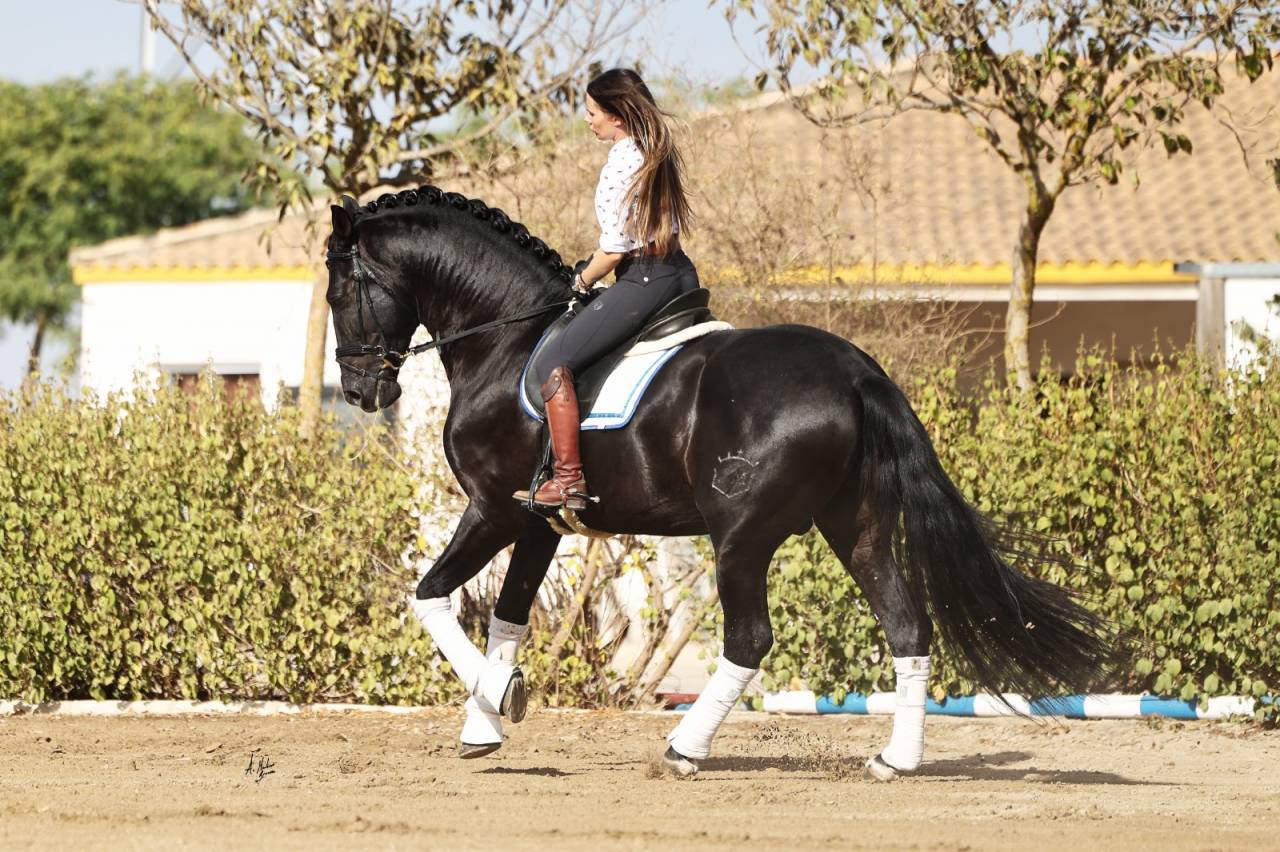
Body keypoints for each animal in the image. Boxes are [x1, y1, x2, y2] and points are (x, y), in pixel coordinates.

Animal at [324, 185, 1114, 779]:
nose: (362, 393)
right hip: (854, 527)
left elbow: (429, 597)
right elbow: (507, 618)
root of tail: (856, 371)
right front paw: (485, 724)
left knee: (749, 639)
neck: (505, 340)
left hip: (740, 537)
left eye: (337, 289)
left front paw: (499, 699)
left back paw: (684, 748)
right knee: (907, 625)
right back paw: (895, 760)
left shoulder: (494, 510)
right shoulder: (540, 524)